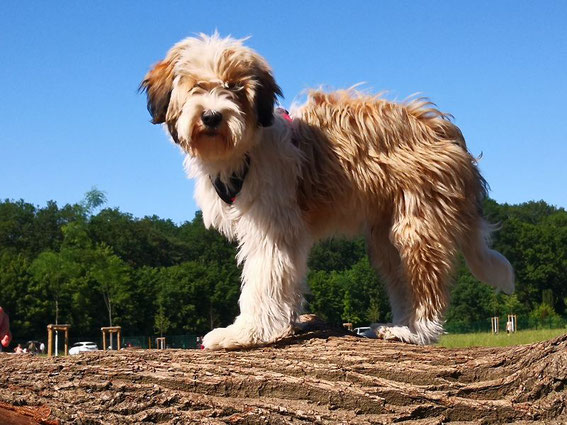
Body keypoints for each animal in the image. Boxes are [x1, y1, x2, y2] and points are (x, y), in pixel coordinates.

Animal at [141, 31, 516, 346]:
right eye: (195, 86)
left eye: (234, 87)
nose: (212, 116)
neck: (244, 149)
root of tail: (444, 130)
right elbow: (286, 278)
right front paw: (286, 323)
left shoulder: (272, 225)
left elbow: (263, 280)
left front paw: (246, 332)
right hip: (386, 235)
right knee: (402, 281)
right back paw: (396, 325)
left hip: (418, 224)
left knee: (428, 286)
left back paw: (414, 332)